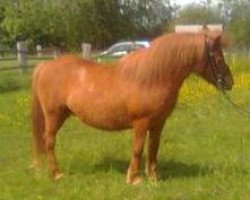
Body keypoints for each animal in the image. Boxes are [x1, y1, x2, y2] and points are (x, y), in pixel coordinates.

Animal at [31, 32, 234, 184]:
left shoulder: (158, 124)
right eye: (217, 57)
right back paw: (56, 173)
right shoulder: (141, 123)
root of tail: (45, 65)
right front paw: (133, 179)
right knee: (49, 141)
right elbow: (137, 149)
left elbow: (153, 149)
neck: (152, 79)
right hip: (54, 116)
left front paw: (153, 178)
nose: (229, 82)